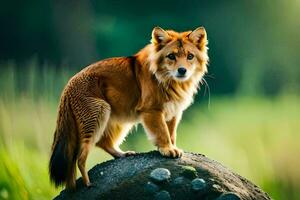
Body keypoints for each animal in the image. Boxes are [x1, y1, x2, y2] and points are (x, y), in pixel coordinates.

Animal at [49, 26, 209, 189]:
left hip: (116, 119)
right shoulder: (152, 110)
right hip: (99, 113)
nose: (182, 70)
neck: (171, 81)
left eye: (190, 56)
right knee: (79, 158)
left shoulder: (174, 112)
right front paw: (168, 149)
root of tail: (67, 87)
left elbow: (171, 134)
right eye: (171, 56)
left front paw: (172, 148)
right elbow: (162, 132)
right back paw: (87, 184)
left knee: (100, 144)